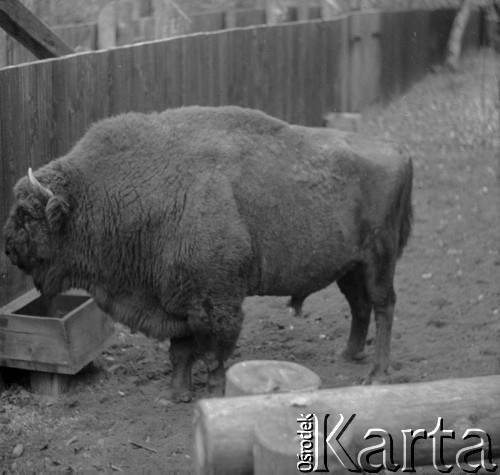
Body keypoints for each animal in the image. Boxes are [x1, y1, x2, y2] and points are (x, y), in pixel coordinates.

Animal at [3, 107, 412, 402]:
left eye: (27, 215)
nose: (8, 246)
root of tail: (398, 150)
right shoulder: (174, 301)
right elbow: (180, 352)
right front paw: (175, 394)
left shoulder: (217, 302)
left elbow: (215, 352)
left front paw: (212, 392)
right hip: (350, 266)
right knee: (360, 306)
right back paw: (350, 354)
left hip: (379, 260)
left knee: (384, 306)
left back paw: (376, 375)